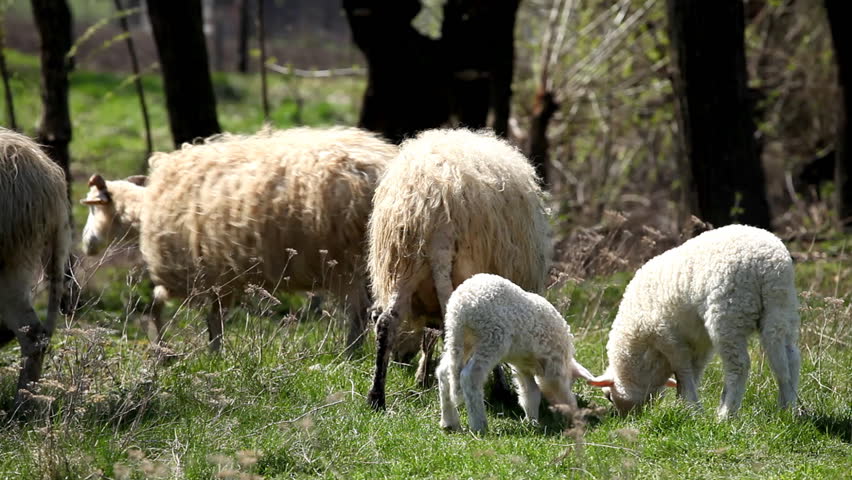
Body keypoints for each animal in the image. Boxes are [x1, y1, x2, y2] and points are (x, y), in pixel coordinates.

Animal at [81, 127, 397, 352]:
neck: (144, 210)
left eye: (93, 207)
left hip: (348, 262)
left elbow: (158, 309)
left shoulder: (188, 273)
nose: (86, 244)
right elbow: (214, 320)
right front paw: (213, 353)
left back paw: (349, 354)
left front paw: (163, 350)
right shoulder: (221, 278)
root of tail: (382, 165)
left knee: (358, 313)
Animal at [366, 128, 552, 410]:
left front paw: (422, 377)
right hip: (462, 269)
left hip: (402, 264)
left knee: (387, 322)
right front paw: (500, 388)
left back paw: (376, 397)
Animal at [436, 274, 596, 434]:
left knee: (444, 372)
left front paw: (532, 422)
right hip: (492, 337)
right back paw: (479, 426)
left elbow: (530, 394)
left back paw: (449, 422)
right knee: (470, 376)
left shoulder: (522, 368)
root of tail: (462, 305)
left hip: (459, 338)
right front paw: (571, 415)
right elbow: (560, 392)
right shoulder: (554, 366)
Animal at [587, 224, 801, 419]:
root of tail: (768, 265)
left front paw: (691, 407)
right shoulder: (700, 343)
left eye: (609, 397)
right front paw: (684, 403)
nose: (626, 418)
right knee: (788, 359)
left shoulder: (666, 336)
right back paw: (788, 408)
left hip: (729, 314)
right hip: (781, 308)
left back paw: (726, 415)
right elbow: (695, 370)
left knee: (739, 365)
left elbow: (683, 370)